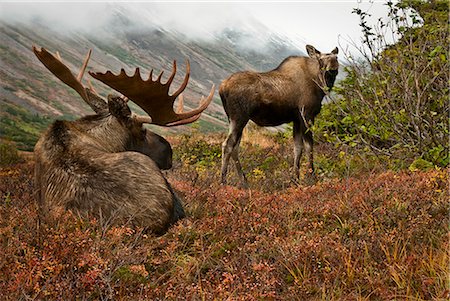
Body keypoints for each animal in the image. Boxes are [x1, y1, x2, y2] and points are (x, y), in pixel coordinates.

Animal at [220, 44, 340, 185]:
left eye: (336, 57)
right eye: (321, 59)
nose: (333, 68)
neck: (319, 84)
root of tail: (222, 87)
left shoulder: (296, 119)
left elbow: (297, 148)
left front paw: (295, 179)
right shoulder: (306, 115)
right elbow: (309, 146)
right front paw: (311, 176)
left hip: (234, 119)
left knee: (235, 147)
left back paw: (244, 181)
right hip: (239, 118)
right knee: (227, 145)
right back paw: (223, 181)